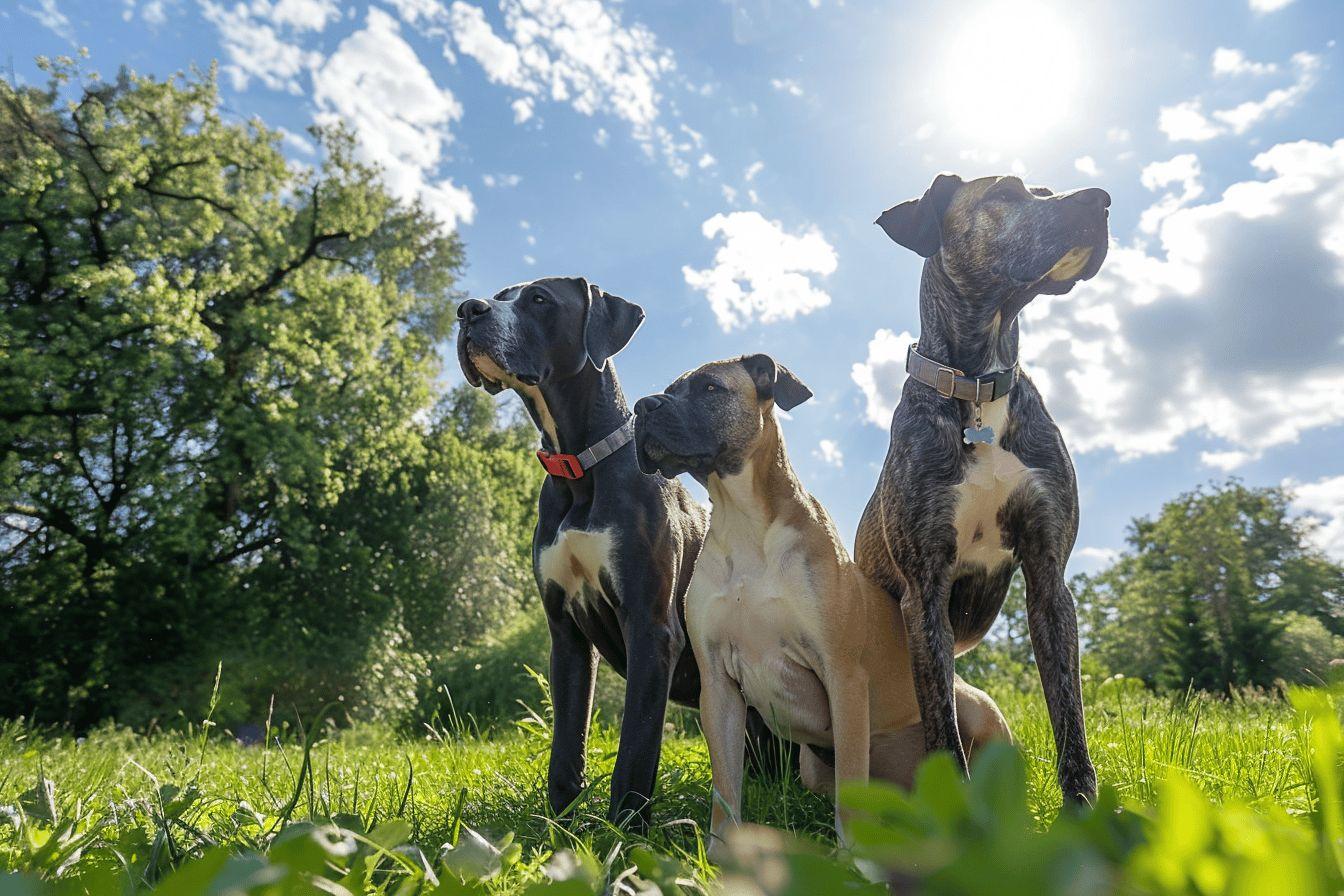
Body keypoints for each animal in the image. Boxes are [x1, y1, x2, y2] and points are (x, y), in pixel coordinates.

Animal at [459, 276, 709, 832]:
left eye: (539, 300)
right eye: (500, 295)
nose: (466, 310)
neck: (577, 465)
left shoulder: (651, 626)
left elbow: (636, 746)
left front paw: (626, 832)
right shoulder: (566, 632)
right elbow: (565, 745)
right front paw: (560, 827)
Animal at [854, 174, 1107, 805]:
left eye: (1044, 187)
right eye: (1007, 193)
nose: (1102, 200)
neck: (978, 386)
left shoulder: (1048, 576)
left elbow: (1070, 719)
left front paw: (1085, 814)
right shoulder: (926, 589)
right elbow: (942, 733)